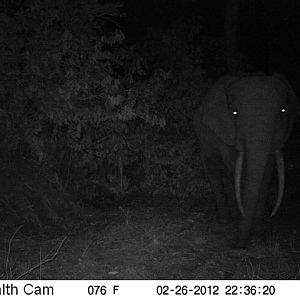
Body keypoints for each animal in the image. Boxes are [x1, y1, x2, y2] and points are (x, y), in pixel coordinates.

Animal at [193, 72, 298, 248]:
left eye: (283, 111)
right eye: (234, 113)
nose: (236, 246)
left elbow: (266, 173)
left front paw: (257, 232)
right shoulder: (225, 132)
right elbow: (238, 170)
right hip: (204, 137)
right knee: (214, 171)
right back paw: (225, 220)